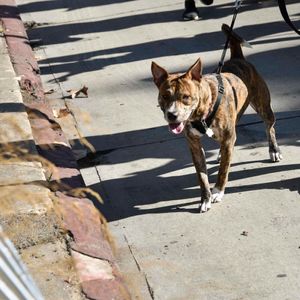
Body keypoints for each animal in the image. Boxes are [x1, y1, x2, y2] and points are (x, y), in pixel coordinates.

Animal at [151, 25, 282, 213]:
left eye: (186, 97)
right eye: (164, 96)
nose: (172, 115)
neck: (201, 113)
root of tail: (237, 57)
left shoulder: (228, 138)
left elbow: (223, 170)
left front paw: (218, 192)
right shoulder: (194, 144)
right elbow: (202, 176)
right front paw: (205, 198)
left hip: (263, 106)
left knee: (269, 126)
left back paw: (274, 150)